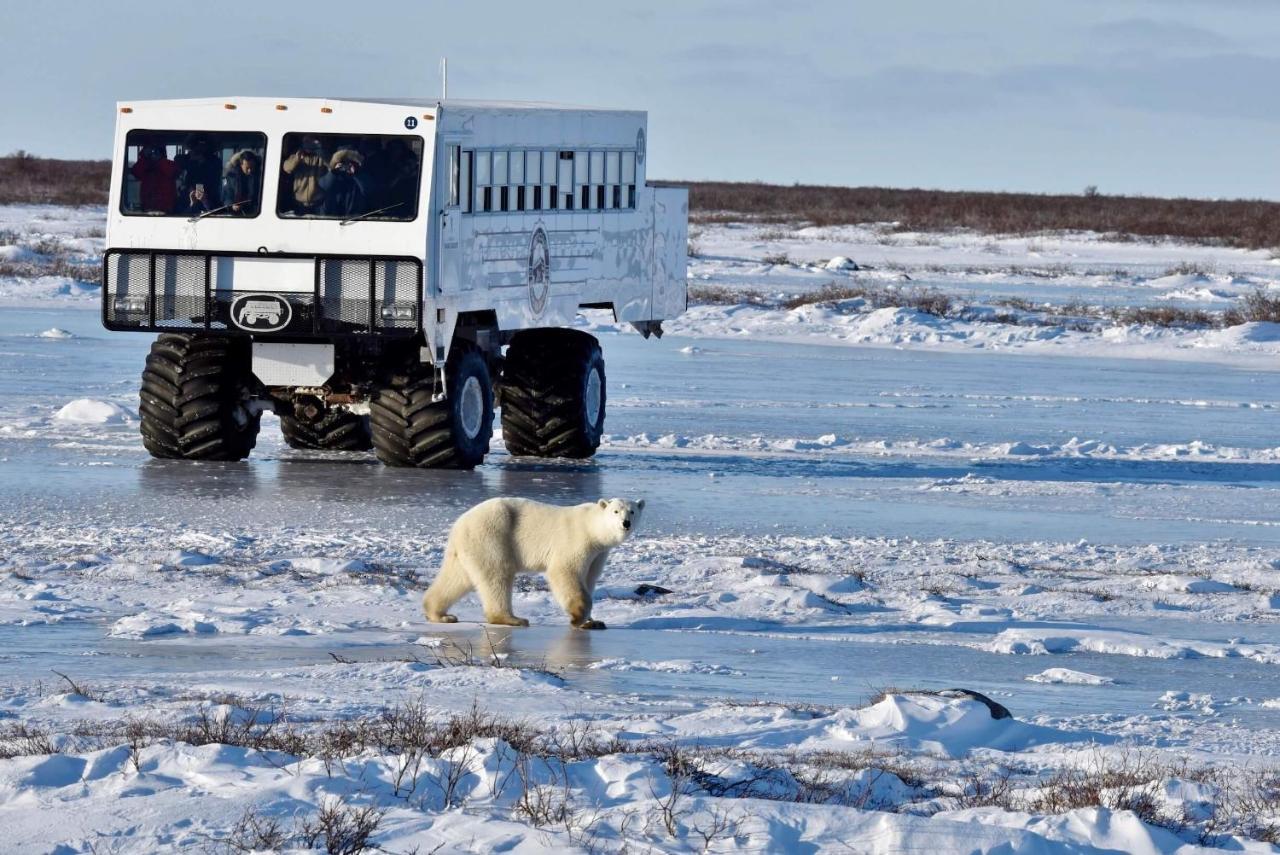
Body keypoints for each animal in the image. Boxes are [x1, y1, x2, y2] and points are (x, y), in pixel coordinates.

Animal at [424, 496, 645, 632]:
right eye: (615, 511)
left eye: (632, 511)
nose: (626, 523)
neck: (592, 528)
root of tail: (459, 523)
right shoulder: (575, 541)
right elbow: (565, 572)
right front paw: (577, 618)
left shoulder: (598, 554)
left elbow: (589, 579)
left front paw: (594, 622)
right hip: (492, 535)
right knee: (497, 574)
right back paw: (512, 619)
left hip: (469, 547)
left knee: (457, 578)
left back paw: (440, 614)